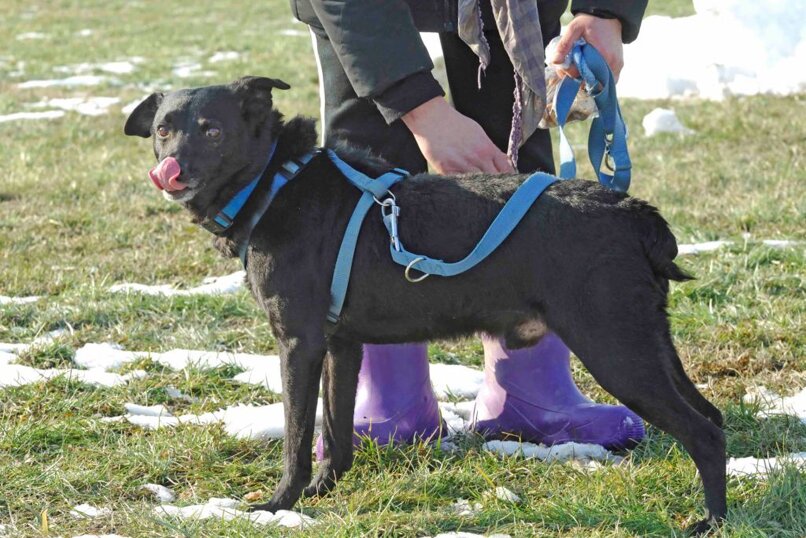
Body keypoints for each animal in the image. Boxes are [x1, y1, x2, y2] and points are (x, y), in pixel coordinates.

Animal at [124, 76, 726, 533]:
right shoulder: (341, 344)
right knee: (711, 416)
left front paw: (279, 505)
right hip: (648, 341)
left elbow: (298, 434)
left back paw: (711, 521)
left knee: (703, 432)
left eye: (213, 130)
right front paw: (323, 491)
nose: (169, 170)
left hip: (615, 348)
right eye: (162, 130)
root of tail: (632, 211)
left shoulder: (298, 342)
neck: (278, 180)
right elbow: (335, 433)